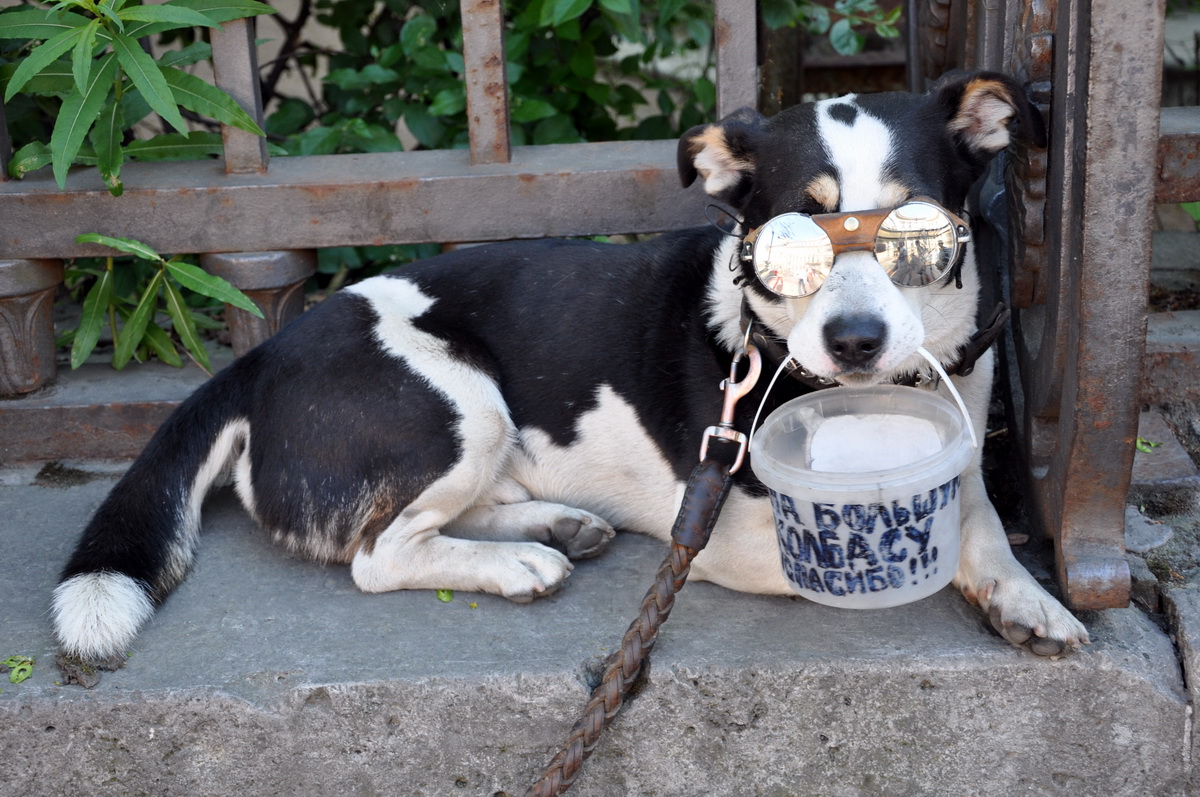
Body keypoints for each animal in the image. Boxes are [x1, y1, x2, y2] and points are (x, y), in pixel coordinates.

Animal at [51, 71, 1094, 667]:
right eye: (789, 239)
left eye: (918, 232)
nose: (855, 342)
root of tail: (266, 353)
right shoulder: (724, 532)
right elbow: (920, 543)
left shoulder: (962, 442)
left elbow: (981, 520)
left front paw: (1028, 598)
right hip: (459, 401)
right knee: (379, 555)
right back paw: (518, 561)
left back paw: (552, 524)